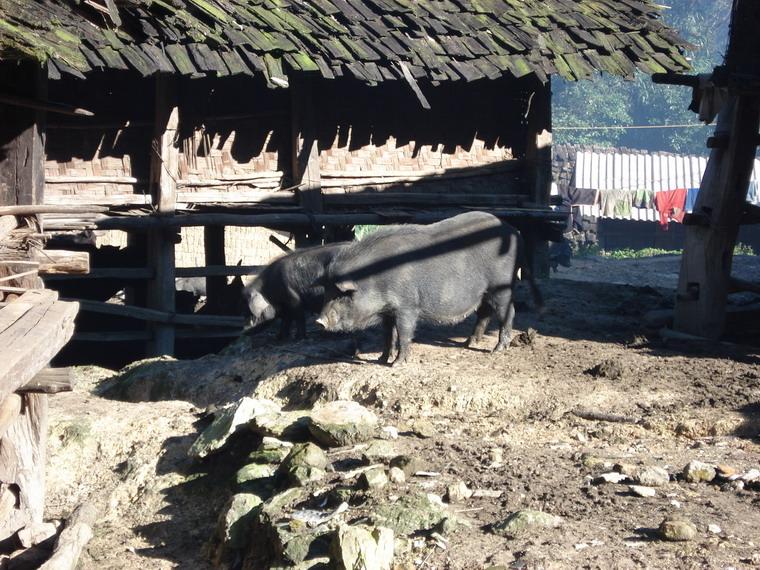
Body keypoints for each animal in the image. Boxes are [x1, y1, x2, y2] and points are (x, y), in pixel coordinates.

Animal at [314, 212, 540, 364]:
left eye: (341, 294)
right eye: (326, 291)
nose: (319, 321)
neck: (374, 278)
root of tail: (515, 232)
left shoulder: (407, 306)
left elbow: (404, 332)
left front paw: (397, 364)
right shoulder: (388, 311)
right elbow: (387, 334)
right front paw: (381, 360)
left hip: (501, 286)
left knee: (508, 312)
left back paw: (497, 350)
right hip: (484, 291)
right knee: (484, 312)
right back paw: (469, 343)